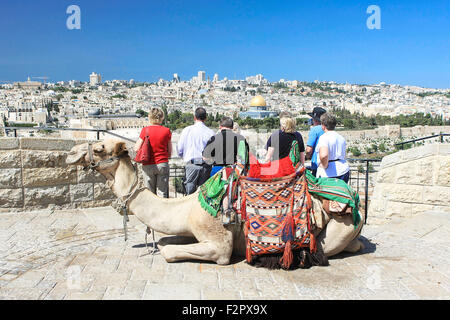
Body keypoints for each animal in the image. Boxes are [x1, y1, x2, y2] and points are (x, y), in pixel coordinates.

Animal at [65, 139, 364, 266]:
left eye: (99, 148)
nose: (69, 154)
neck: (188, 208)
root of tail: (355, 200)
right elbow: (168, 240)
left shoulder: (218, 243)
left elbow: (168, 250)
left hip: (339, 226)